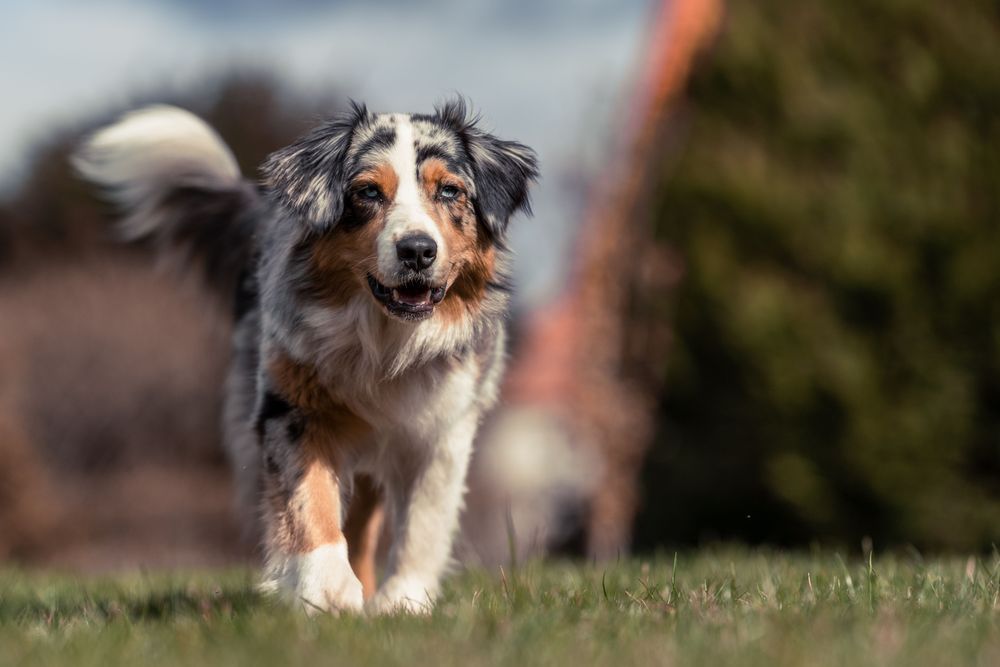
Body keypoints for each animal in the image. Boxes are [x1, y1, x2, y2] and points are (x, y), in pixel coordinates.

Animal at [75, 99, 540, 616]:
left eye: (450, 190)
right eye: (367, 192)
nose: (417, 250)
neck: (386, 342)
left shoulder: (444, 426)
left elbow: (424, 520)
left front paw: (403, 601)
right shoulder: (293, 405)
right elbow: (308, 499)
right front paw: (327, 590)